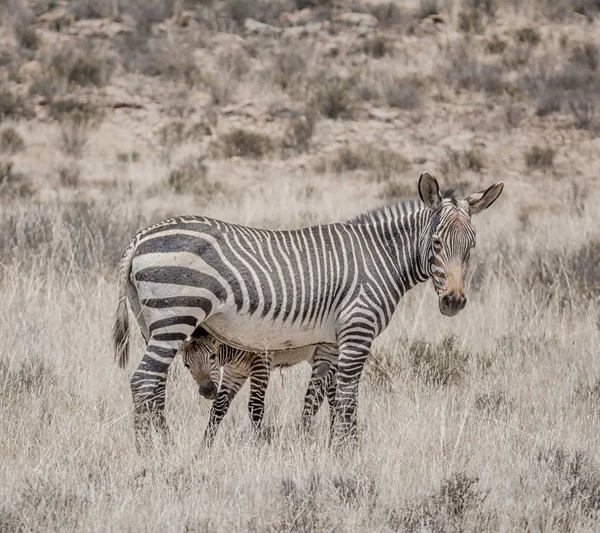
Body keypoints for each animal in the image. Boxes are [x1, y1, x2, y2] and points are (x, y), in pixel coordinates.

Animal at [112, 171, 502, 444]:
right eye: (436, 243)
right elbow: (347, 395)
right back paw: (154, 450)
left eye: (471, 246)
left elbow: (319, 397)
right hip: (175, 314)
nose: (453, 301)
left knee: (156, 384)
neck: (381, 257)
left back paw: (162, 442)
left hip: (152, 322)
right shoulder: (358, 329)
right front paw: (349, 452)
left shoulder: (329, 341)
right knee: (144, 380)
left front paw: (322, 446)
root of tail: (141, 236)